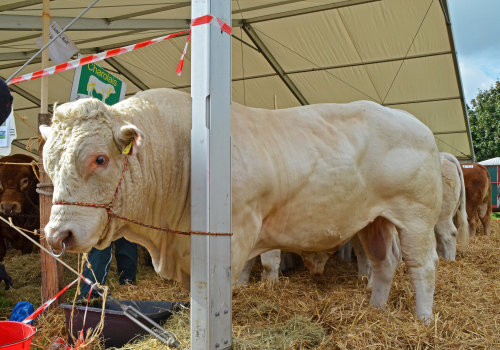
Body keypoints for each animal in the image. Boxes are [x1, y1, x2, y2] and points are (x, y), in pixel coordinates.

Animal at [41, 89, 444, 322]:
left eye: (99, 159)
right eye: (48, 162)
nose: (58, 234)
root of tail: (416, 124)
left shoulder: (235, 237)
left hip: (416, 217)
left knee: (422, 266)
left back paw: (423, 320)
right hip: (374, 221)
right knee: (383, 264)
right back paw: (376, 309)